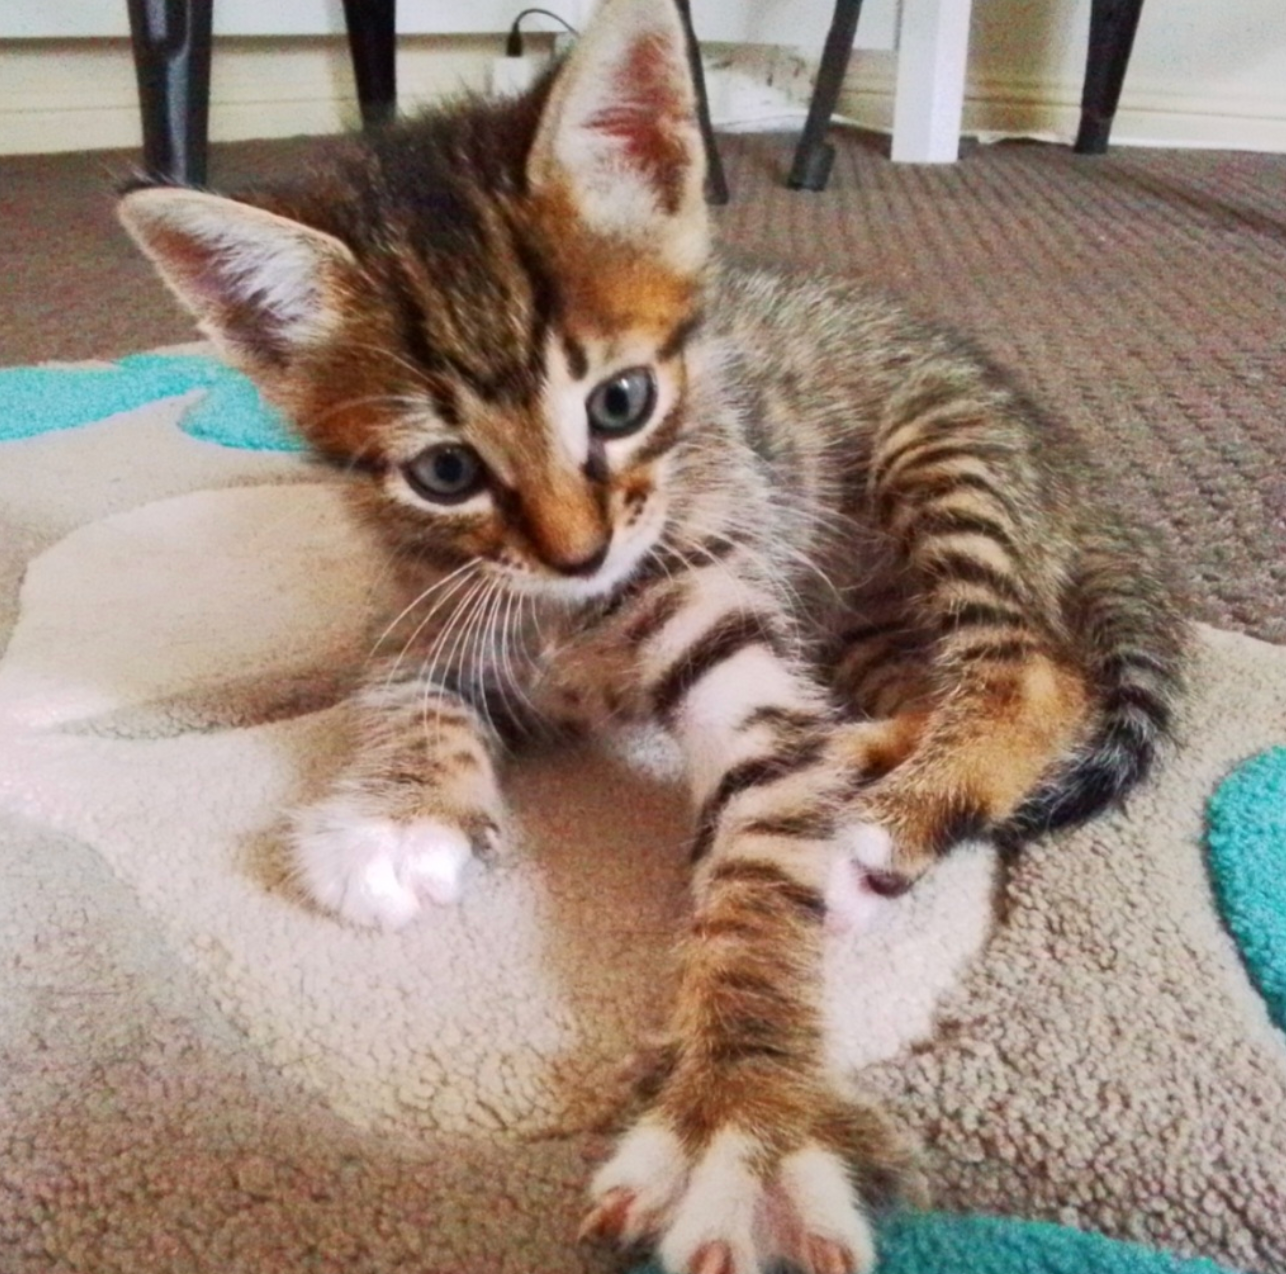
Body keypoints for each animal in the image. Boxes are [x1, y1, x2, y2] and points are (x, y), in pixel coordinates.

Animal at [117, 0, 1187, 1270]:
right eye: (444, 471)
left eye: (619, 402)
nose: (579, 552)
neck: (571, 611)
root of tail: (1071, 468)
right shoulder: (428, 599)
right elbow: (402, 689)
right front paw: (400, 812)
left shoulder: (730, 628)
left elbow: (762, 844)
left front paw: (743, 1114)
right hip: (860, 611)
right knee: (932, 683)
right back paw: (862, 754)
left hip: (943, 461)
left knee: (1031, 670)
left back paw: (881, 820)